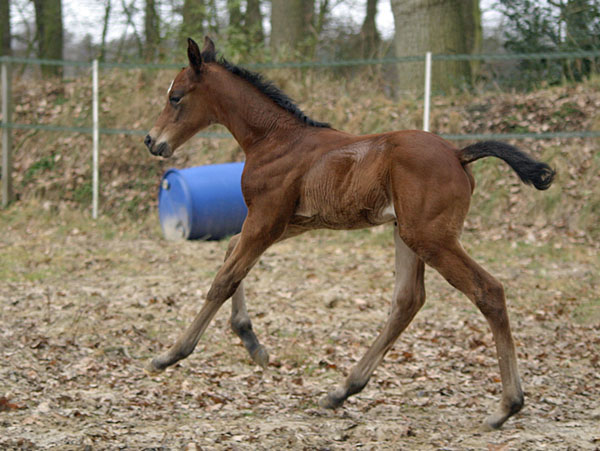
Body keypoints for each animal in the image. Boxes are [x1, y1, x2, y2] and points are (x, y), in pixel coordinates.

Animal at [143, 37, 556, 430]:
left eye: (175, 97)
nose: (151, 140)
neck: (274, 139)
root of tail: (458, 153)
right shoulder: (288, 221)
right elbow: (231, 253)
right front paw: (251, 341)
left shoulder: (266, 218)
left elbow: (224, 278)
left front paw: (170, 355)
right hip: (407, 233)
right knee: (407, 300)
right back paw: (342, 390)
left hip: (431, 238)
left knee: (488, 291)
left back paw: (507, 406)